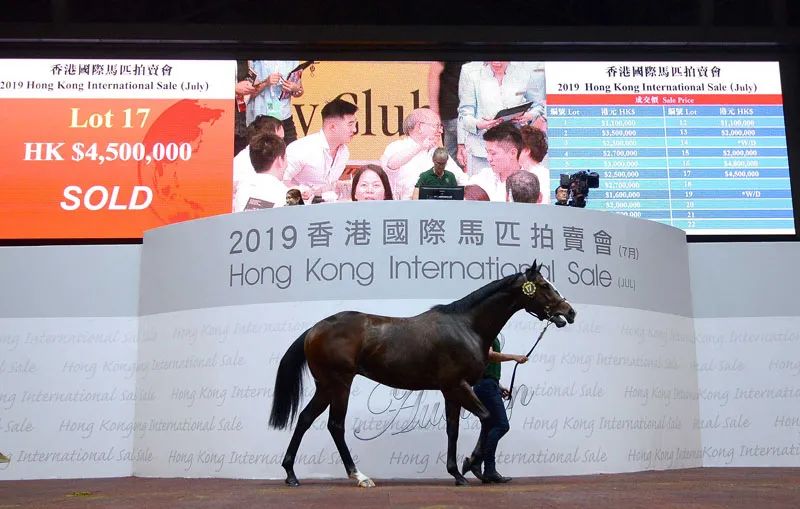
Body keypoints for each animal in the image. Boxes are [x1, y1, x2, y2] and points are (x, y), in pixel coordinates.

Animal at [268, 260, 576, 487]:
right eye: (544, 285)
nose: (570, 311)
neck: (466, 326)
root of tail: (315, 329)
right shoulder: (458, 386)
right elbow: (488, 418)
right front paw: (471, 464)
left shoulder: (451, 391)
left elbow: (453, 429)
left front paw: (457, 473)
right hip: (340, 383)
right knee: (335, 425)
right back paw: (360, 476)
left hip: (326, 386)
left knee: (305, 418)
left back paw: (291, 474)